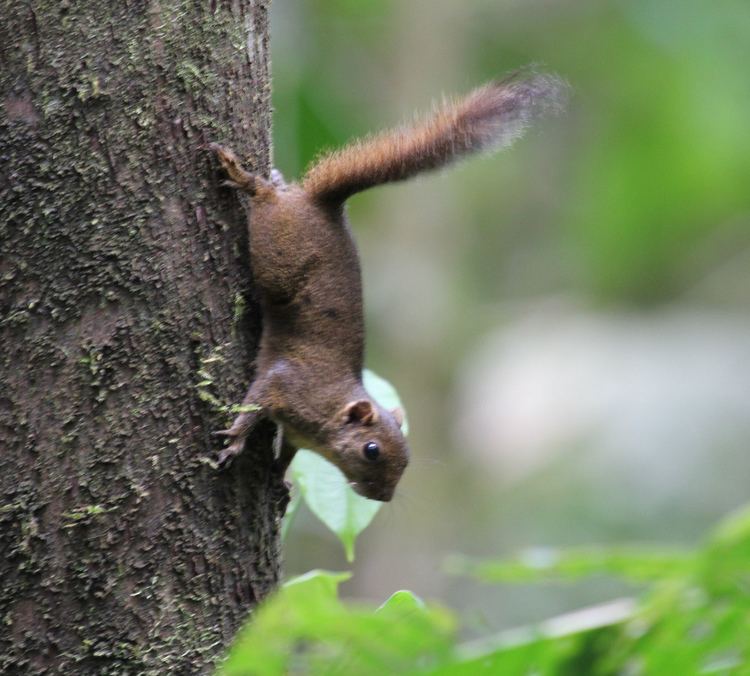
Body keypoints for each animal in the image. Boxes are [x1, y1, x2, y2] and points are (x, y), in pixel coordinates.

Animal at [209, 70, 568, 502]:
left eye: (407, 458)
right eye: (372, 450)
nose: (383, 497)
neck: (329, 411)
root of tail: (324, 205)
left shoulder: (296, 433)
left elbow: (288, 453)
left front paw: (279, 478)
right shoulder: (286, 386)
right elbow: (253, 406)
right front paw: (234, 440)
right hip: (276, 253)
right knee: (265, 201)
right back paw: (249, 179)